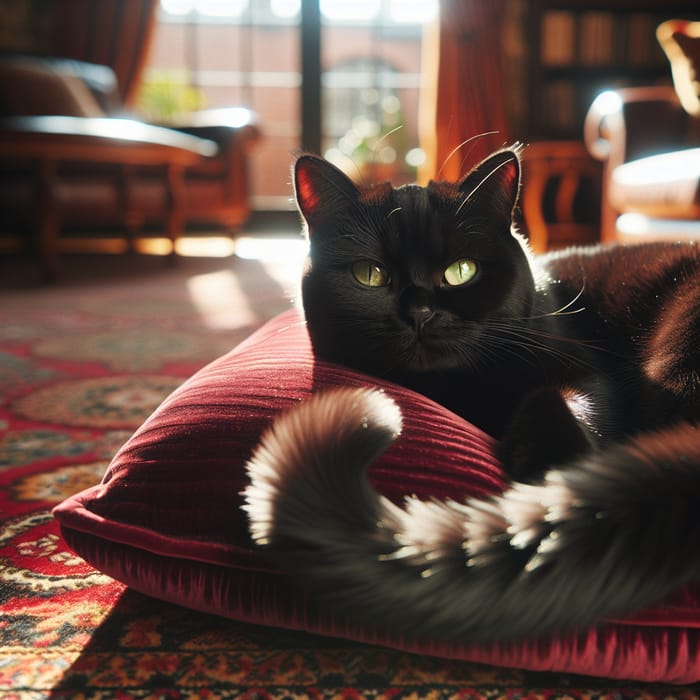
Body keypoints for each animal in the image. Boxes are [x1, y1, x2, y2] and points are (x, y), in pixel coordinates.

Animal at [243, 146, 700, 640]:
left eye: (461, 271)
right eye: (369, 274)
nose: (420, 312)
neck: (463, 391)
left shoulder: (585, 370)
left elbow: (561, 398)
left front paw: (555, 472)